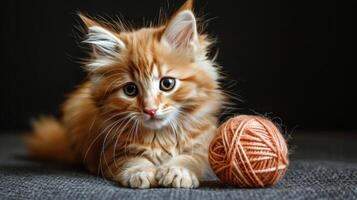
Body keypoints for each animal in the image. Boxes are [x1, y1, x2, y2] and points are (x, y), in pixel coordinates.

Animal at [26, 0, 224, 189]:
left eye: (167, 84)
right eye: (130, 90)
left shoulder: (202, 147)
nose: (150, 110)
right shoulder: (110, 152)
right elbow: (131, 161)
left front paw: (178, 170)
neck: (160, 136)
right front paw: (140, 172)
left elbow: (190, 159)